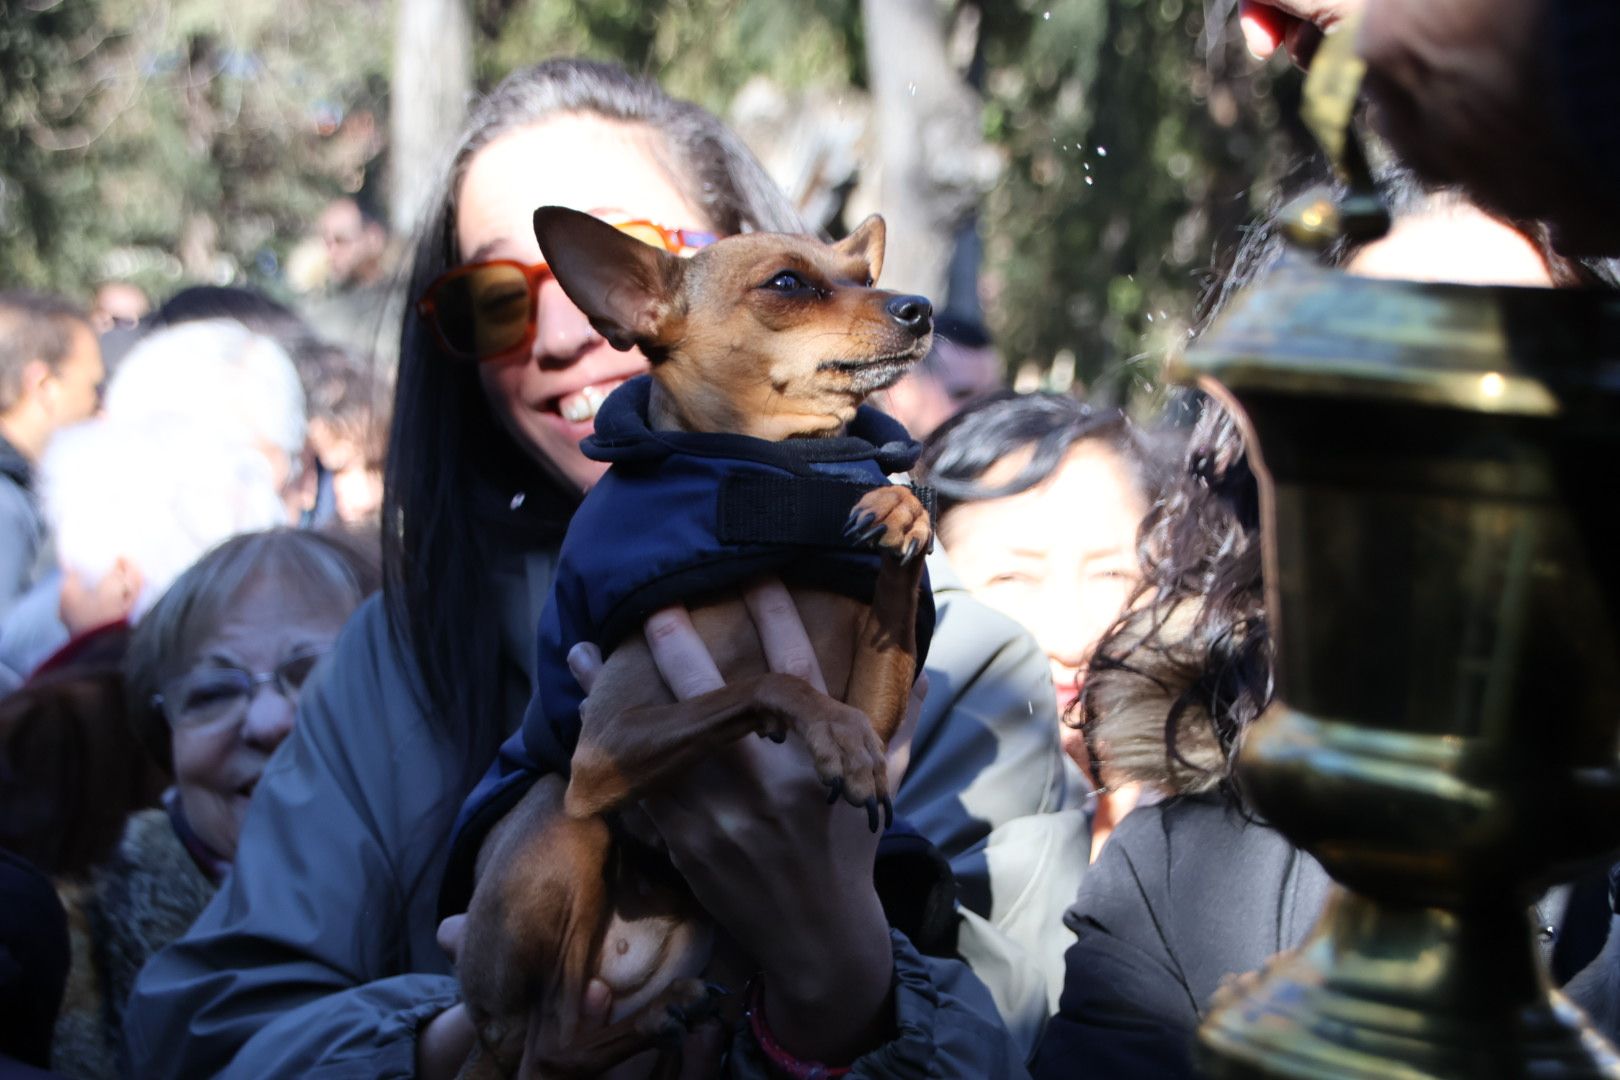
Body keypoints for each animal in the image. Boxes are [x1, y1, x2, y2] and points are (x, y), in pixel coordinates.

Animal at [453, 207, 939, 1075]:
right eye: (788, 284)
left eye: (862, 276)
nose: (919, 307)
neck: (784, 470)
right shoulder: (605, 744)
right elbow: (766, 684)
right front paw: (834, 736)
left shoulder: (880, 698)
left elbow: (884, 605)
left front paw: (901, 509)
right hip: (562, 817)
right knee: (550, 1042)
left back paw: (665, 1016)